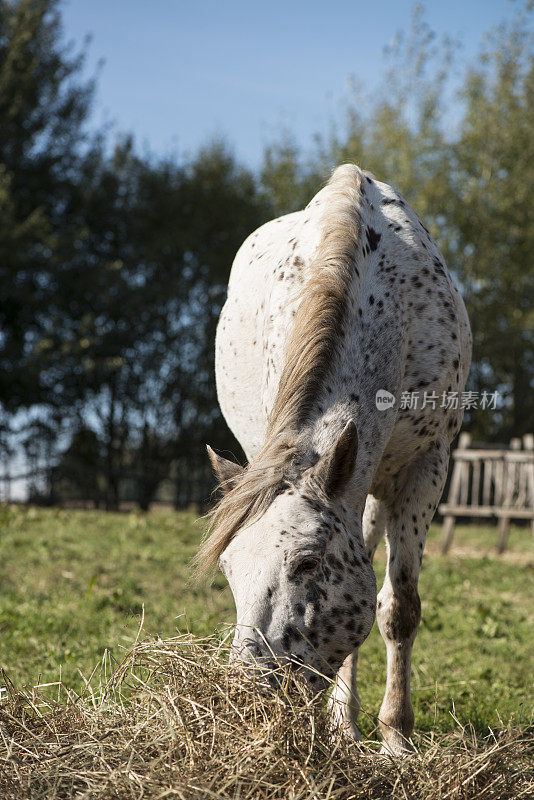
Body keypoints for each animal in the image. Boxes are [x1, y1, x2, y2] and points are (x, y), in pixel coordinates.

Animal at [198, 164, 474, 756]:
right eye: (228, 568)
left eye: (306, 563)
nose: (246, 697)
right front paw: (335, 726)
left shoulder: (425, 469)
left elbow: (398, 608)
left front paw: (396, 738)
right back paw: (342, 721)